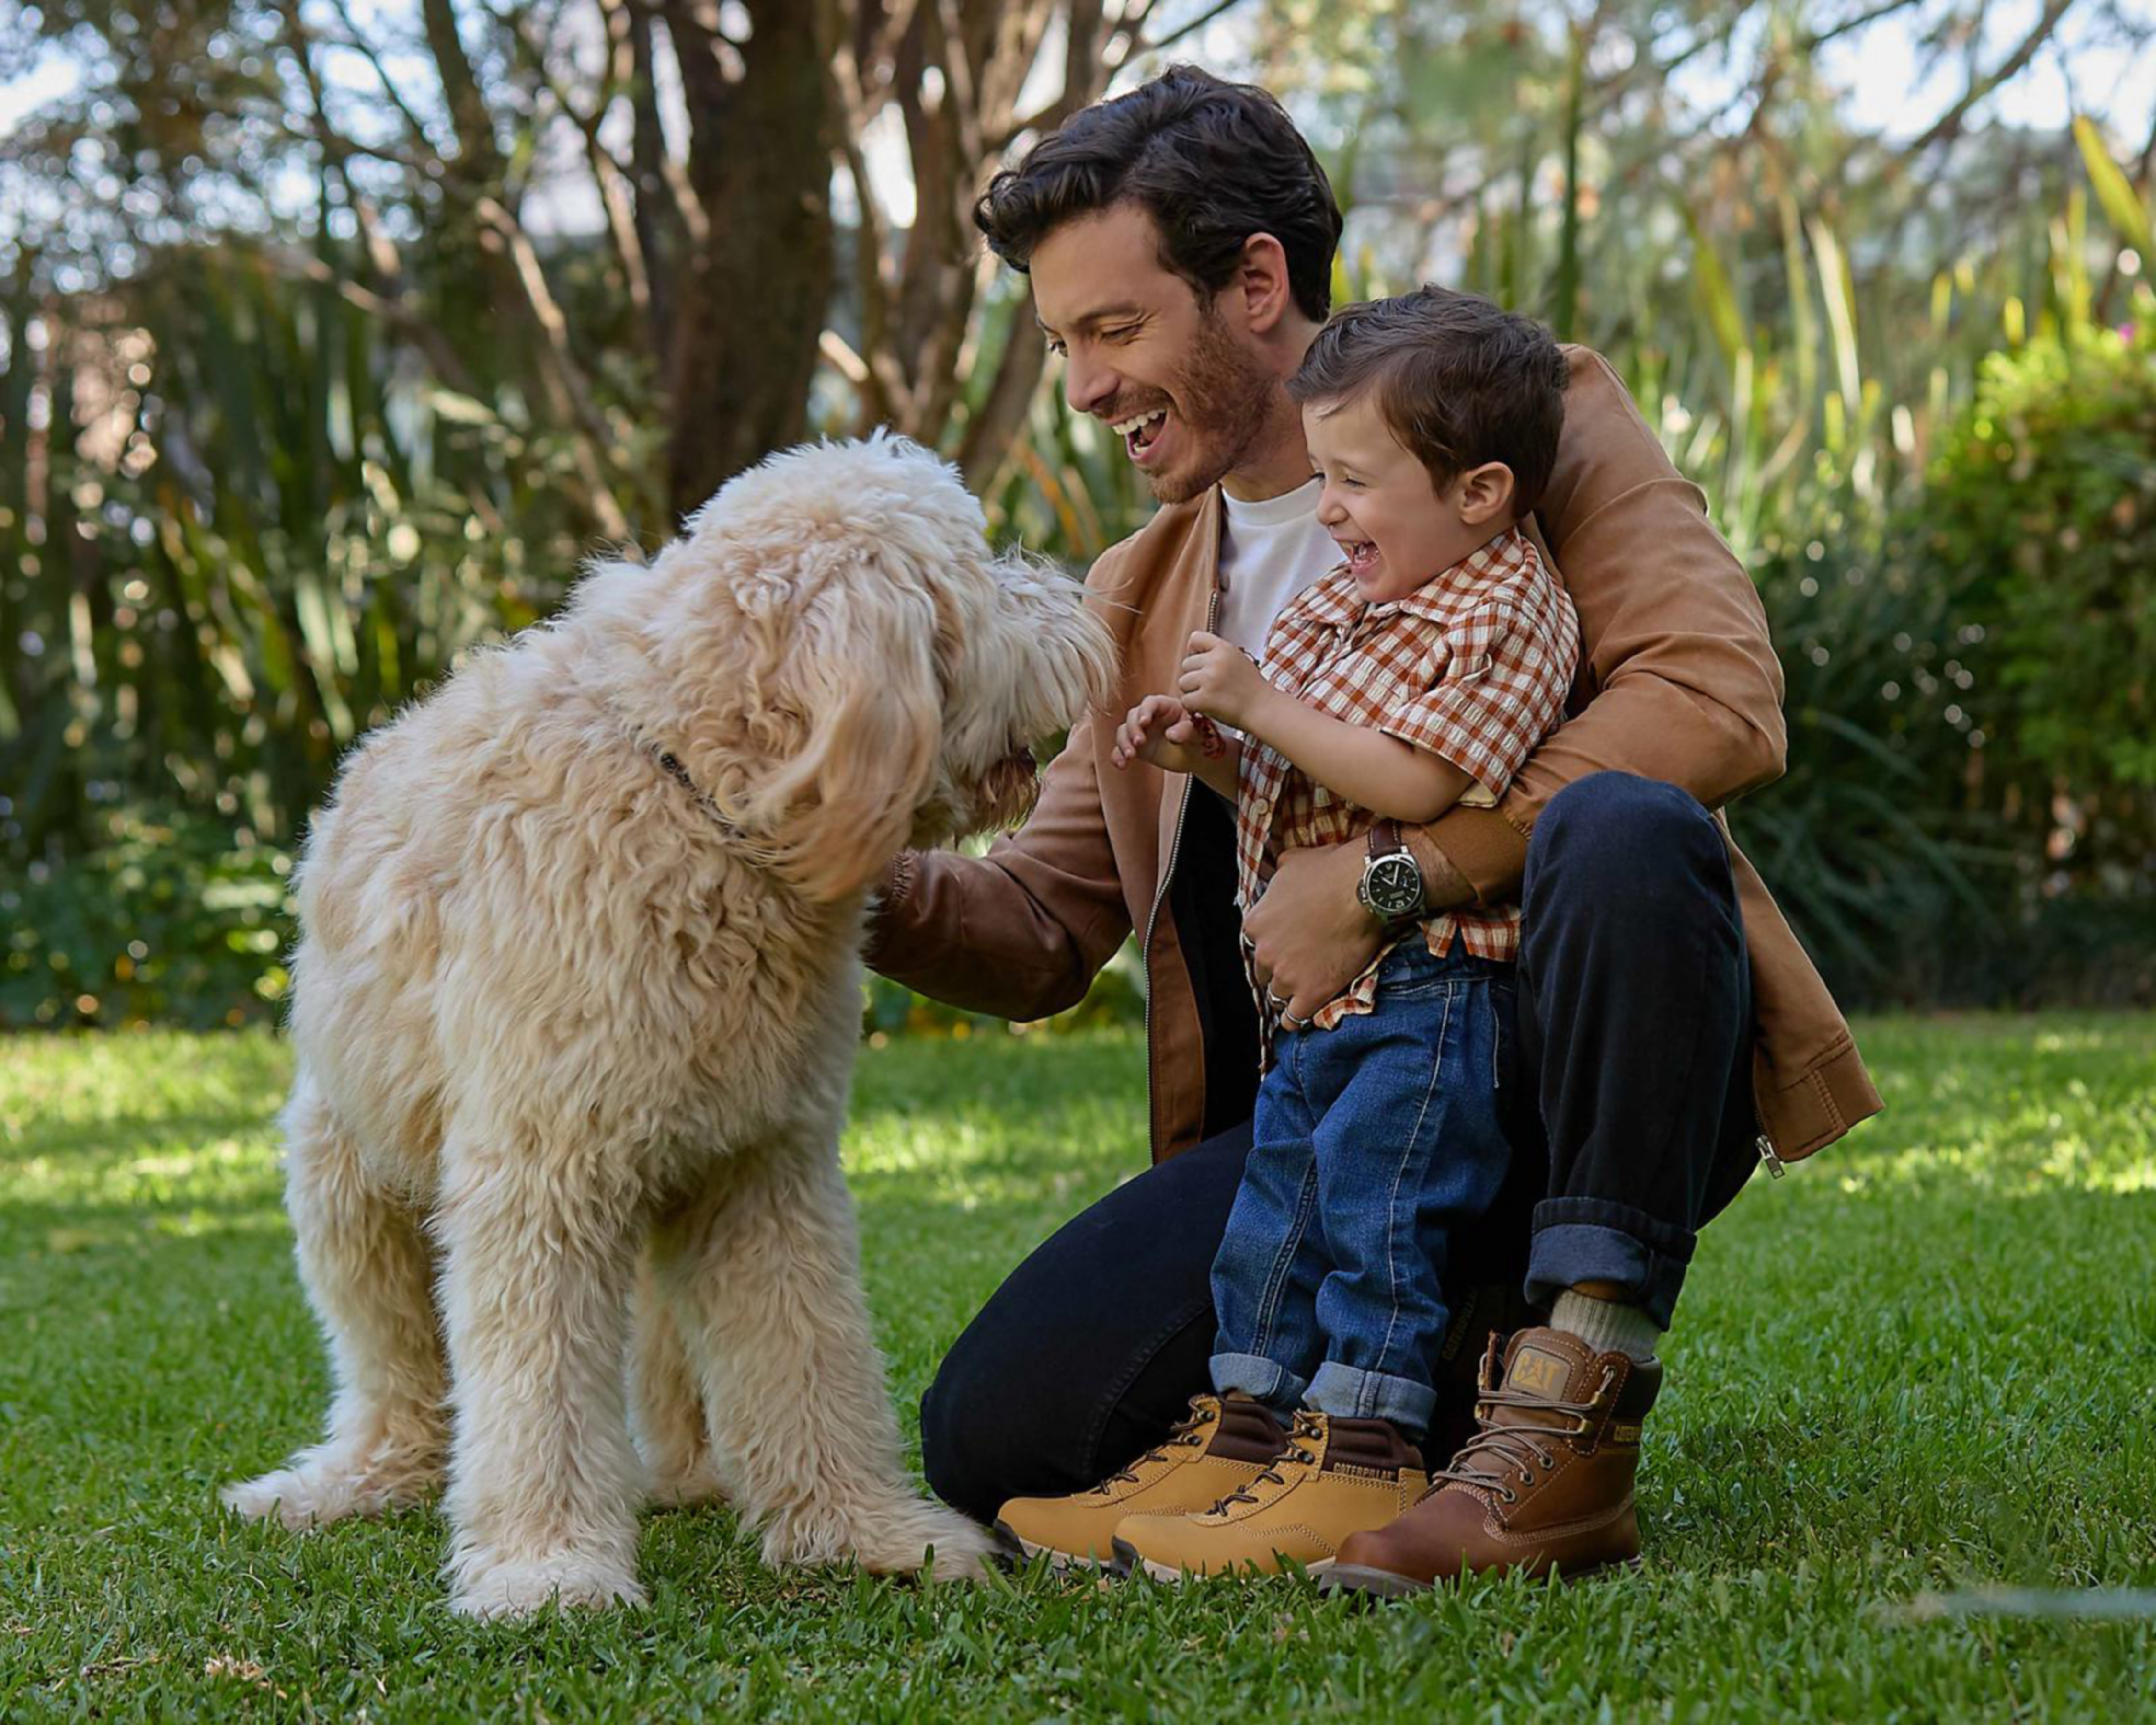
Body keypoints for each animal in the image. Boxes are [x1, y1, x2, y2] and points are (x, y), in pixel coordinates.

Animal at [227, 431, 1121, 1622]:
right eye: (978, 568)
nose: (1087, 609)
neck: (697, 803)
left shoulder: (764, 1168)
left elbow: (806, 1354)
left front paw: (865, 1534)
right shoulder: (540, 1176)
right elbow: (538, 1384)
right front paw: (549, 1569)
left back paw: (690, 1472)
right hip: (348, 1170)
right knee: (399, 1367)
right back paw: (355, 1481)